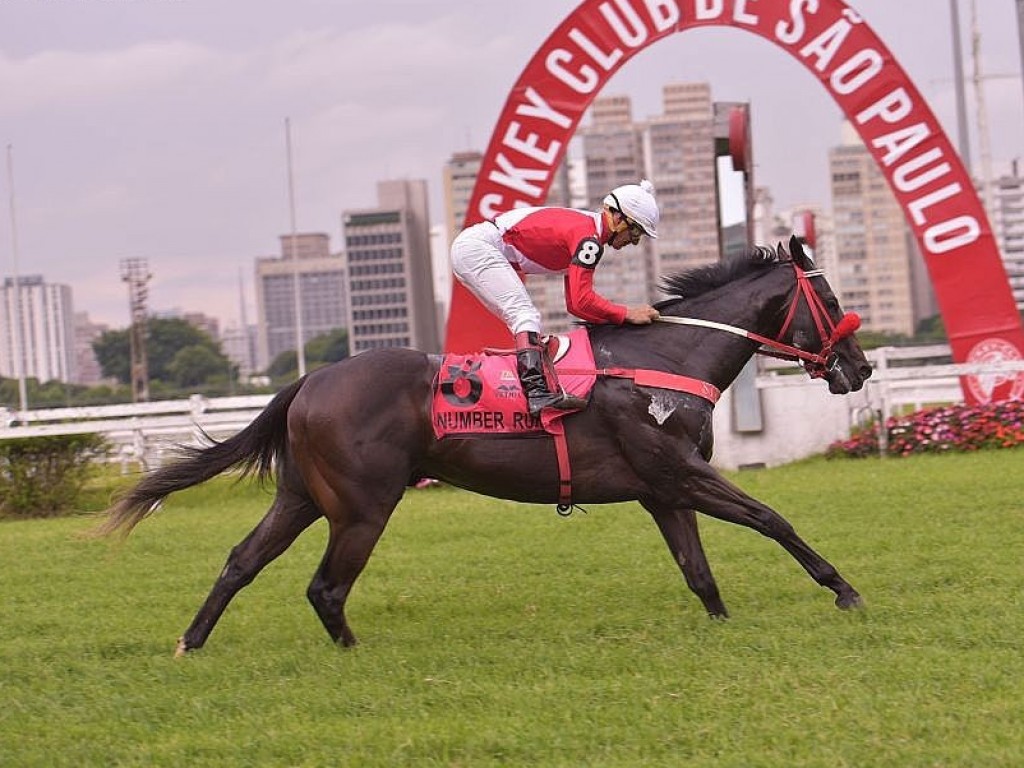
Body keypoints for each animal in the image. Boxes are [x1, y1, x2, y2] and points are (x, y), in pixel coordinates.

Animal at [97, 236, 872, 655]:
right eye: (833, 300)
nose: (859, 368)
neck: (665, 357)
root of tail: (310, 379)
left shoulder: (662, 490)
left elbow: (699, 573)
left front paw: (724, 624)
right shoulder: (679, 473)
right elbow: (772, 518)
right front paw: (844, 589)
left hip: (302, 497)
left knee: (241, 561)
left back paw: (190, 643)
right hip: (362, 506)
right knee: (326, 586)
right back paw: (352, 654)